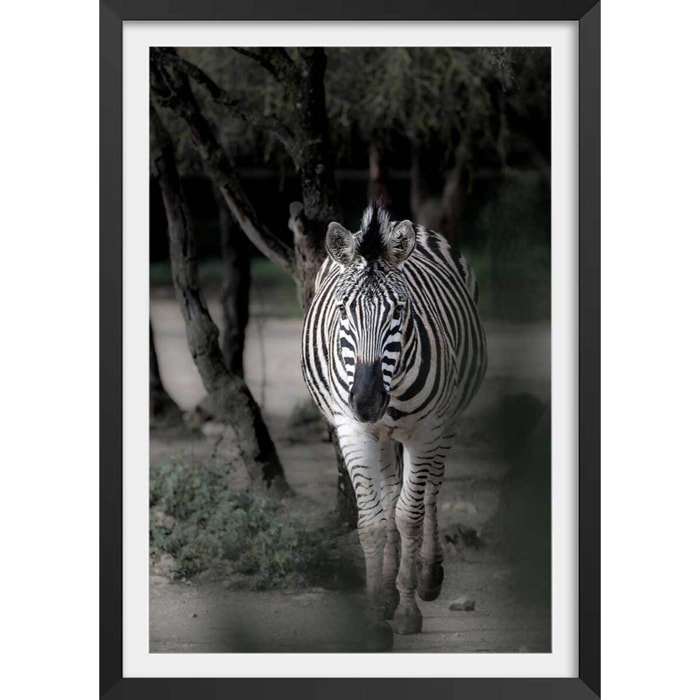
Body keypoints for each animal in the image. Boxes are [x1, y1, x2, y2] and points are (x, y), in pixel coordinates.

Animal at [301, 203, 487, 650]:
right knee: (387, 496)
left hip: (446, 421)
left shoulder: (426, 430)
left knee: (432, 491)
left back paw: (429, 577)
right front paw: (376, 615)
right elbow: (372, 522)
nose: (367, 401)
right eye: (342, 311)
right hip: (382, 436)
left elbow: (409, 516)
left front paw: (406, 610)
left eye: (399, 312)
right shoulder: (353, 429)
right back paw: (385, 591)